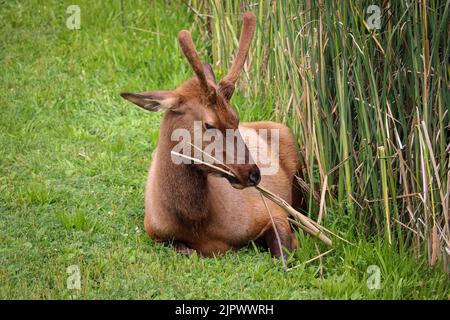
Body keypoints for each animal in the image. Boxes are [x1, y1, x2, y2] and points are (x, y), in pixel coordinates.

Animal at [120, 11, 302, 258]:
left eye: (236, 118)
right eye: (209, 124)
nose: (254, 173)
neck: (200, 225)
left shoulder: (270, 210)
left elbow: (283, 251)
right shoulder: (155, 233)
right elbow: (185, 250)